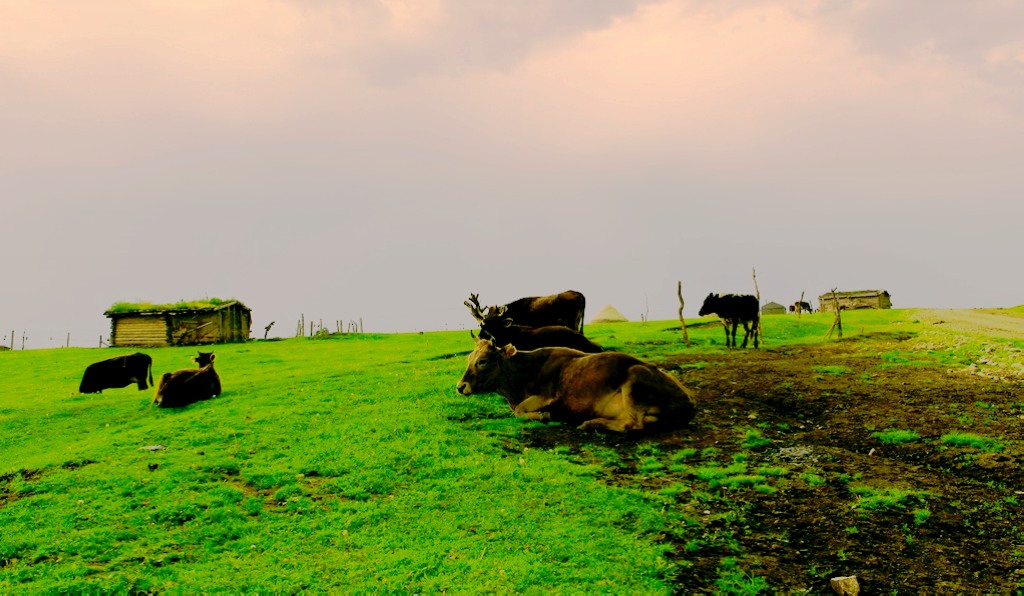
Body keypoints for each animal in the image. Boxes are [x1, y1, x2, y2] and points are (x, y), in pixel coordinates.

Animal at [456, 337, 696, 432]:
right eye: (468, 358)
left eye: (482, 361)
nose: (460, 386)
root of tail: (689, 400)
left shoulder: (548, 395)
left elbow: (521, 411)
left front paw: (545, 416)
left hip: (634, 380)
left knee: (633, 424)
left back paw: (591, 423)